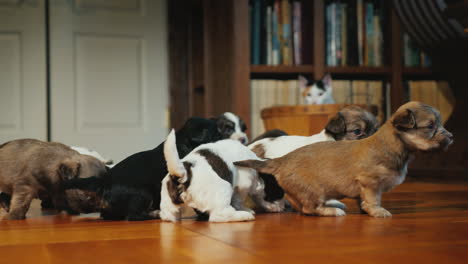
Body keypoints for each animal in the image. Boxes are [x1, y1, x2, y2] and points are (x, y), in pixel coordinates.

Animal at [238, 102, 454, 218]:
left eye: (376, 128)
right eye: (357, 131)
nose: (451, 137)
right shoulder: (368, 182)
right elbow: (372, 198)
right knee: (273, 198)